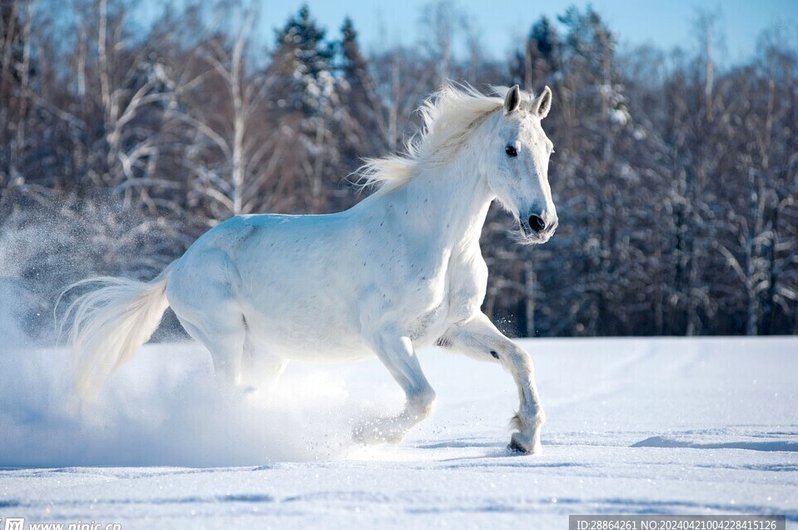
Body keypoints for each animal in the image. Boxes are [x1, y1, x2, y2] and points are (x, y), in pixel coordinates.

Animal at [63, 83, 558, 454]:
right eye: (511, 149)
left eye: (548, 149)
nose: (542, 223)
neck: (436, 239)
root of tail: (179, 265)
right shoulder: (384, 333)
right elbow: (423, 399)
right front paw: (362, 434)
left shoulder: (453, 327)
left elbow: (520, 358)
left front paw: (522, 438)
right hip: (225, 339)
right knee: (225, 395)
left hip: (268, 353)